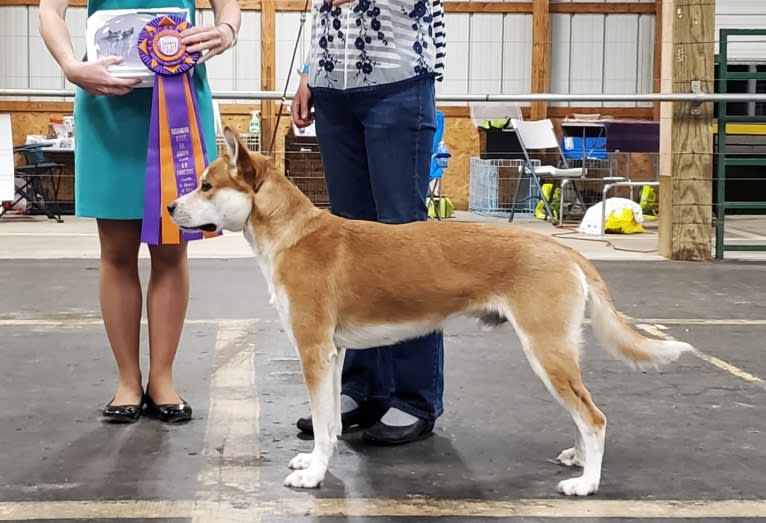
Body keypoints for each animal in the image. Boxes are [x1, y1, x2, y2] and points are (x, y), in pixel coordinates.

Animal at [171, 127, 700, 496]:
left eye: (207, 186)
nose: (173, 207)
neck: (294, 234)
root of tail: (565, 250)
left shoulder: (313, 350)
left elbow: (322, 427)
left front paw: (315, 473)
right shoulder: (333, 354)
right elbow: (332, 422)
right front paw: (317, 460)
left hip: (545, 349)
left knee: (595, 417)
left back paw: (587, 483)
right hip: (557, 354)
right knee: (581, 413)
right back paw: (578, 458)